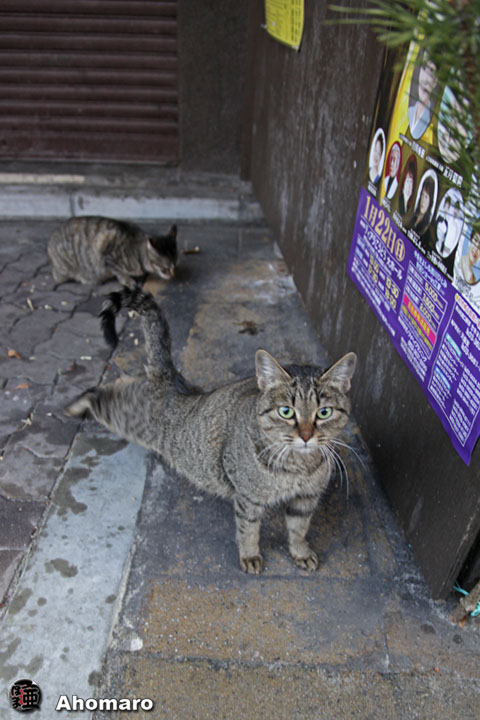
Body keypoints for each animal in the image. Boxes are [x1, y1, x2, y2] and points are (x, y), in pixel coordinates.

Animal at [47, 216, 177, 287]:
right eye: (165, 268)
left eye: (175, 265)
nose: (172, 276)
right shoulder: (108, 256)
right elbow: (118, 272)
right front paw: (127, 280)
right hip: (64, 269)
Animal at [66, 287, 356, 574]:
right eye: (286, 411)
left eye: (324, 412)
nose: (306, 436)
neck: (299, 466)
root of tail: (172, 377)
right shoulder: (247, 498)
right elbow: (249, 530)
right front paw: (250, 556)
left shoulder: (306, 499)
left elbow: (299, 529)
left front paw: (300, 552)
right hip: (131, 418)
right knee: (105, 394)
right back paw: (76, 404)